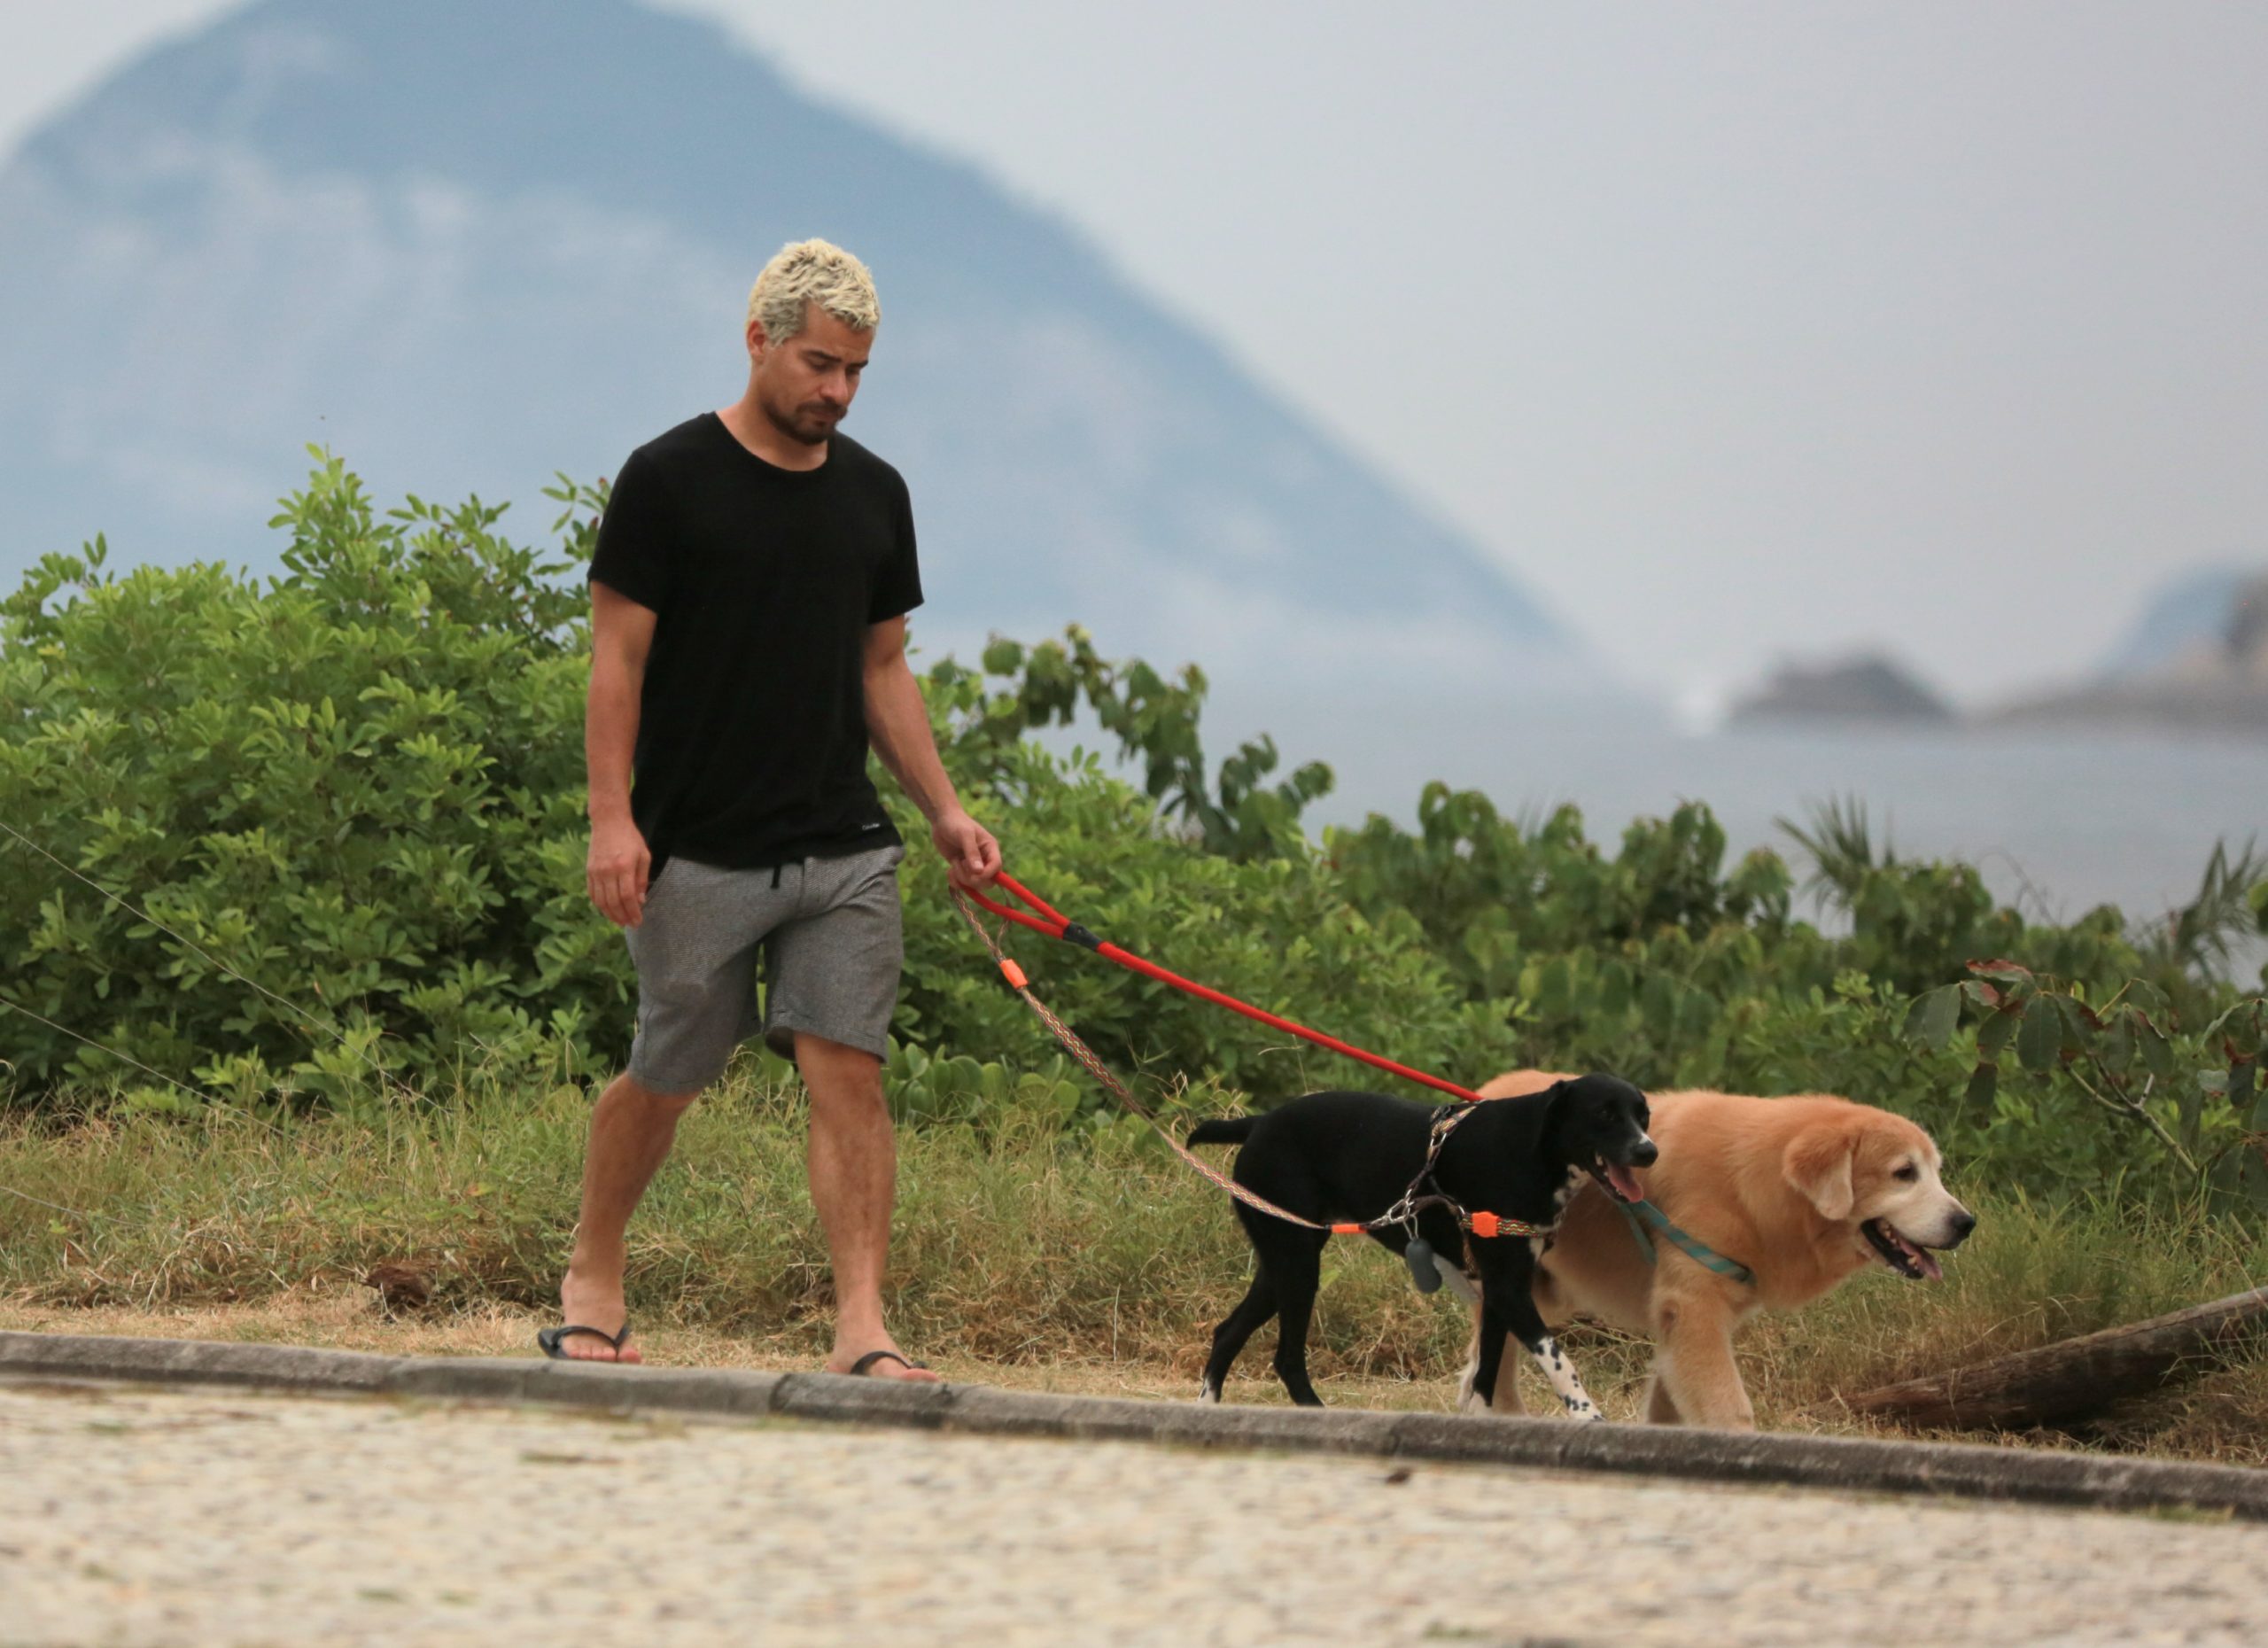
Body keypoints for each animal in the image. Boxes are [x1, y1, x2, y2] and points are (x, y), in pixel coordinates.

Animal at [1197, 1083, 1659, 1414]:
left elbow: (1485, 1379)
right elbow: (1560, 1362)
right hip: (1297, 1267)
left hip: (1283, 1263)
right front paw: (1589, 1416)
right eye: (1604, 1113)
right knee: (1287, 1359)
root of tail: (1258, 1122)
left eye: (1644, 1115)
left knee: (1227, 1333)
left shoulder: (1499, 1293)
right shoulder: (1510, 1292)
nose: (1648, 1150)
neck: (1531, 1150)